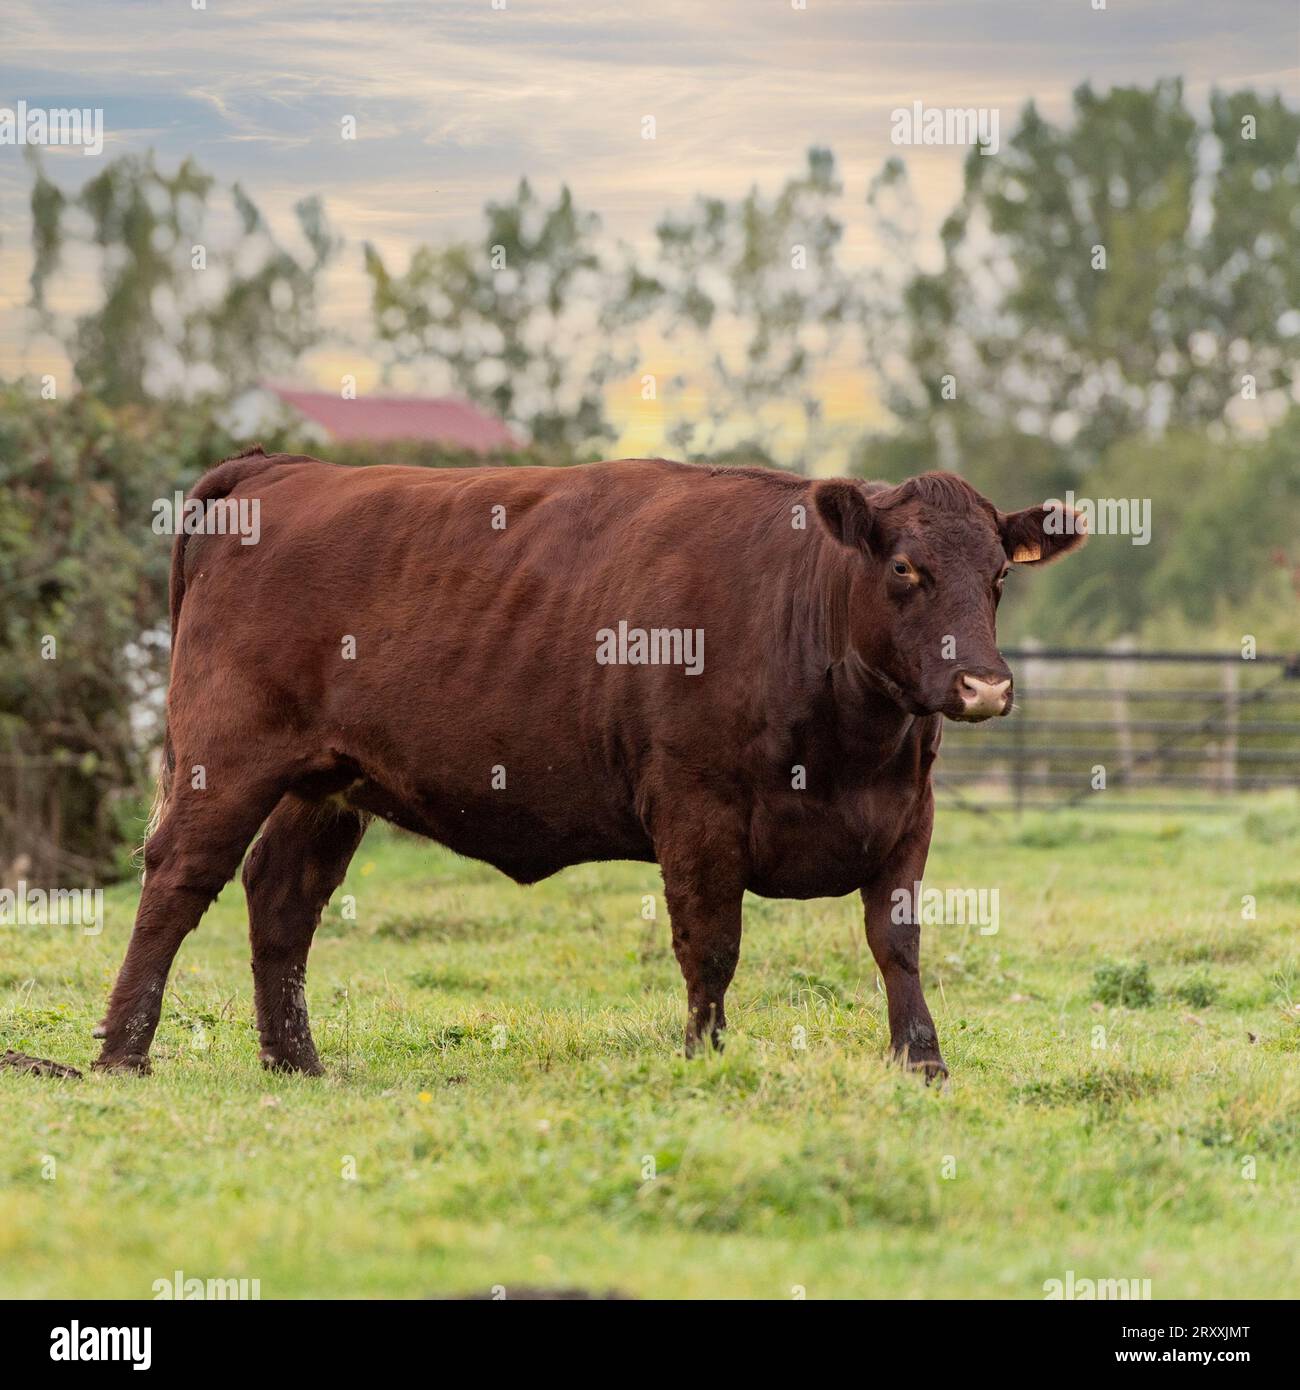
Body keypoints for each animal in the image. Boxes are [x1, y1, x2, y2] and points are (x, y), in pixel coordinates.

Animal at [93, 451, 1085, 1080]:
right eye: (907, 568)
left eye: (1000, 574)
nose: (985, 685)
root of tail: (280, 467)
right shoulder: (695, 808)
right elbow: (711, 945)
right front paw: (703, 1059)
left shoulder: (907, 813)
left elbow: (898, 942)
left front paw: (922, 1059)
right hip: (228, 759)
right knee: (178, 880)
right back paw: (120, 1054)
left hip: (328, 781)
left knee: (281, 896)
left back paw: (296, 1061)